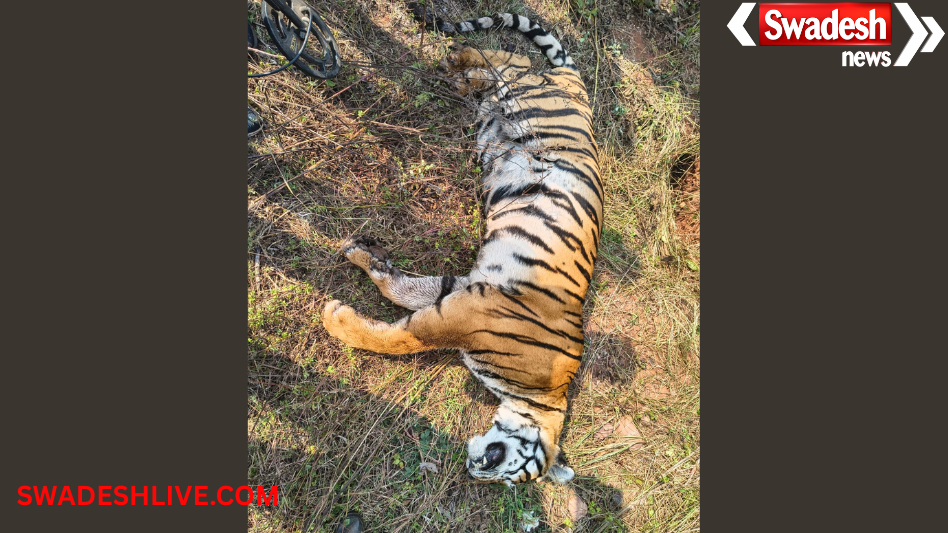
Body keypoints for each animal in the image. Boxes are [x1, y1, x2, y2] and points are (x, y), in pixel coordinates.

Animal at [322, 5, 602, 486]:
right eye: (516, 476)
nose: (476, 471)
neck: (544, 398)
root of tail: (575, 80)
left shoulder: (465, 290)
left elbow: (405, 288)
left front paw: (365, 257)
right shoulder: (465, 316)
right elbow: (399, 339)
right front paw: (336, 319)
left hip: (494, 118)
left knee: (501, 75)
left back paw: (461, 75)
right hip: (531, 99)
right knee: (514, 60)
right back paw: (460, 60)